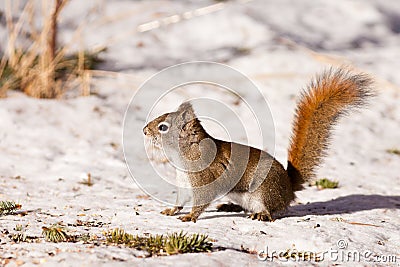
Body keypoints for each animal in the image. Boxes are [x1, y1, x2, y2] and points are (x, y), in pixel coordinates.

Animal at [142, 68, 374, 223]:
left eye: (163, 127)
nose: (144, 130)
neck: (185, 154)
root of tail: (288, 189)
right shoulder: (184, 183)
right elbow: (180, 199)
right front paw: (172, 211)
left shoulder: (205, 179)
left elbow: (201, 200)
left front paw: (190, 216)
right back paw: (229, 206)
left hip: (264, 191)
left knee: (272, 211)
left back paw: (261, 214)